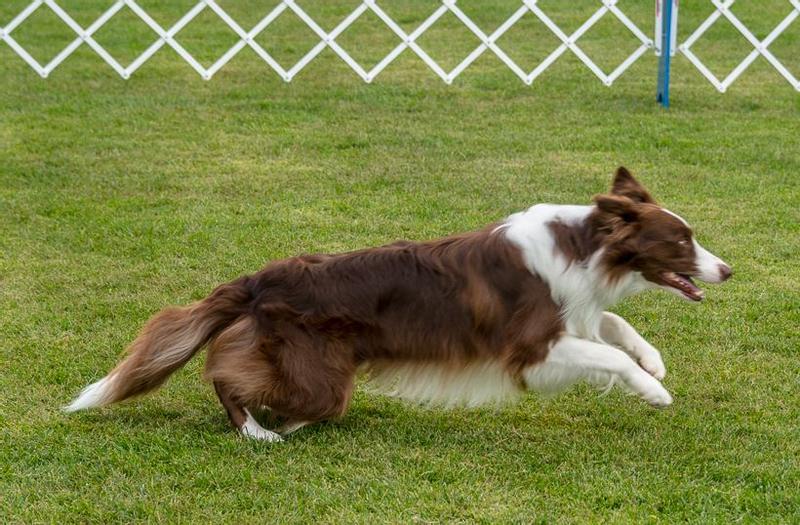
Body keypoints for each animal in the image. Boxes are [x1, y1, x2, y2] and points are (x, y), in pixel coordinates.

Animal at [67, 167, 732, 438]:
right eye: (681, 241)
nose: (726, 269)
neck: (586, 245)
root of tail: (261, 278)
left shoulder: (573, 317)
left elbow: (615, 325)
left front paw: (653, 362)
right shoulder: (530, 351)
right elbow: (607, 352)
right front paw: (655, 392)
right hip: (319, 375)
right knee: (226, 376)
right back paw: (259, 433)